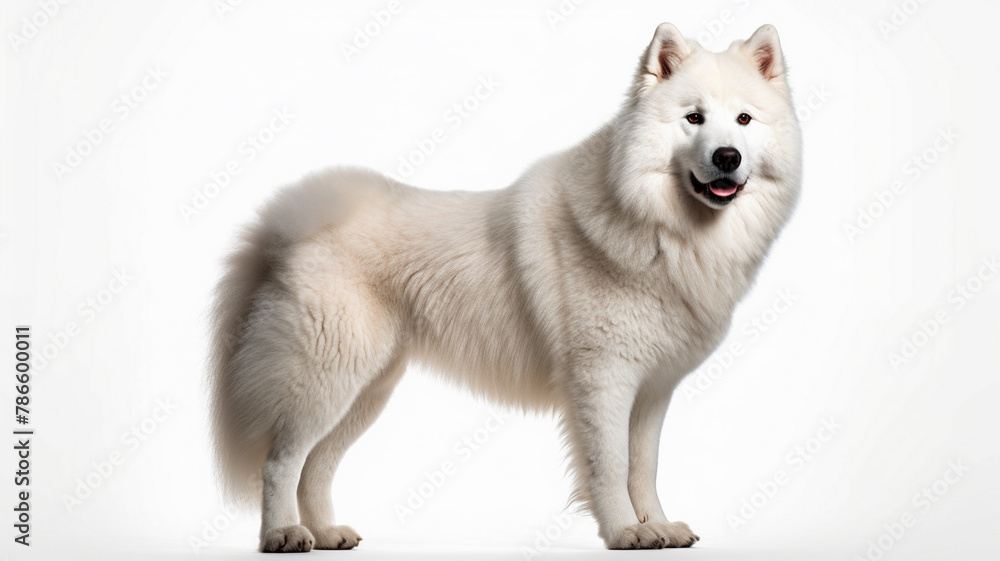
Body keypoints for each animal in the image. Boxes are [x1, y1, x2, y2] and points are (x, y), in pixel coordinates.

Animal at [207, 23, 800, 552]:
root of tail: (291, 223)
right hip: (326, 375)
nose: (727, 157)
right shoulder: (603, 381)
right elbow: (610, 466)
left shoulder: (652, 390)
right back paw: (283, 535)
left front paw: (657, 526)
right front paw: (625, 533)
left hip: (367, 387)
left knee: (317, 465)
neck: (662, 229)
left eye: (744, 119)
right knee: (281, 461)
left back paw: (327, 533)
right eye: (693, 118)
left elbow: (644, 467)